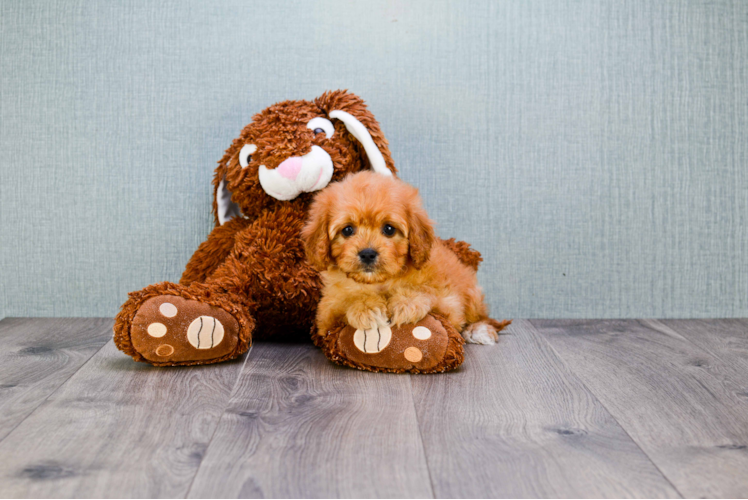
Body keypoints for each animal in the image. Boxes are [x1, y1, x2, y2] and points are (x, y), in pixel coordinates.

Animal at [300, 171, 506, 344]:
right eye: (347, 230)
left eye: (389, 229)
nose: (367, 253)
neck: (379, 282)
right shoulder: (326, 315)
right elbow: (345, 302)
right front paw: (366, 307)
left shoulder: (450, 304)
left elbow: (428, 292)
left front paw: (406, 303)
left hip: (472, 294)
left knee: (483, 317)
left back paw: (478, 330)